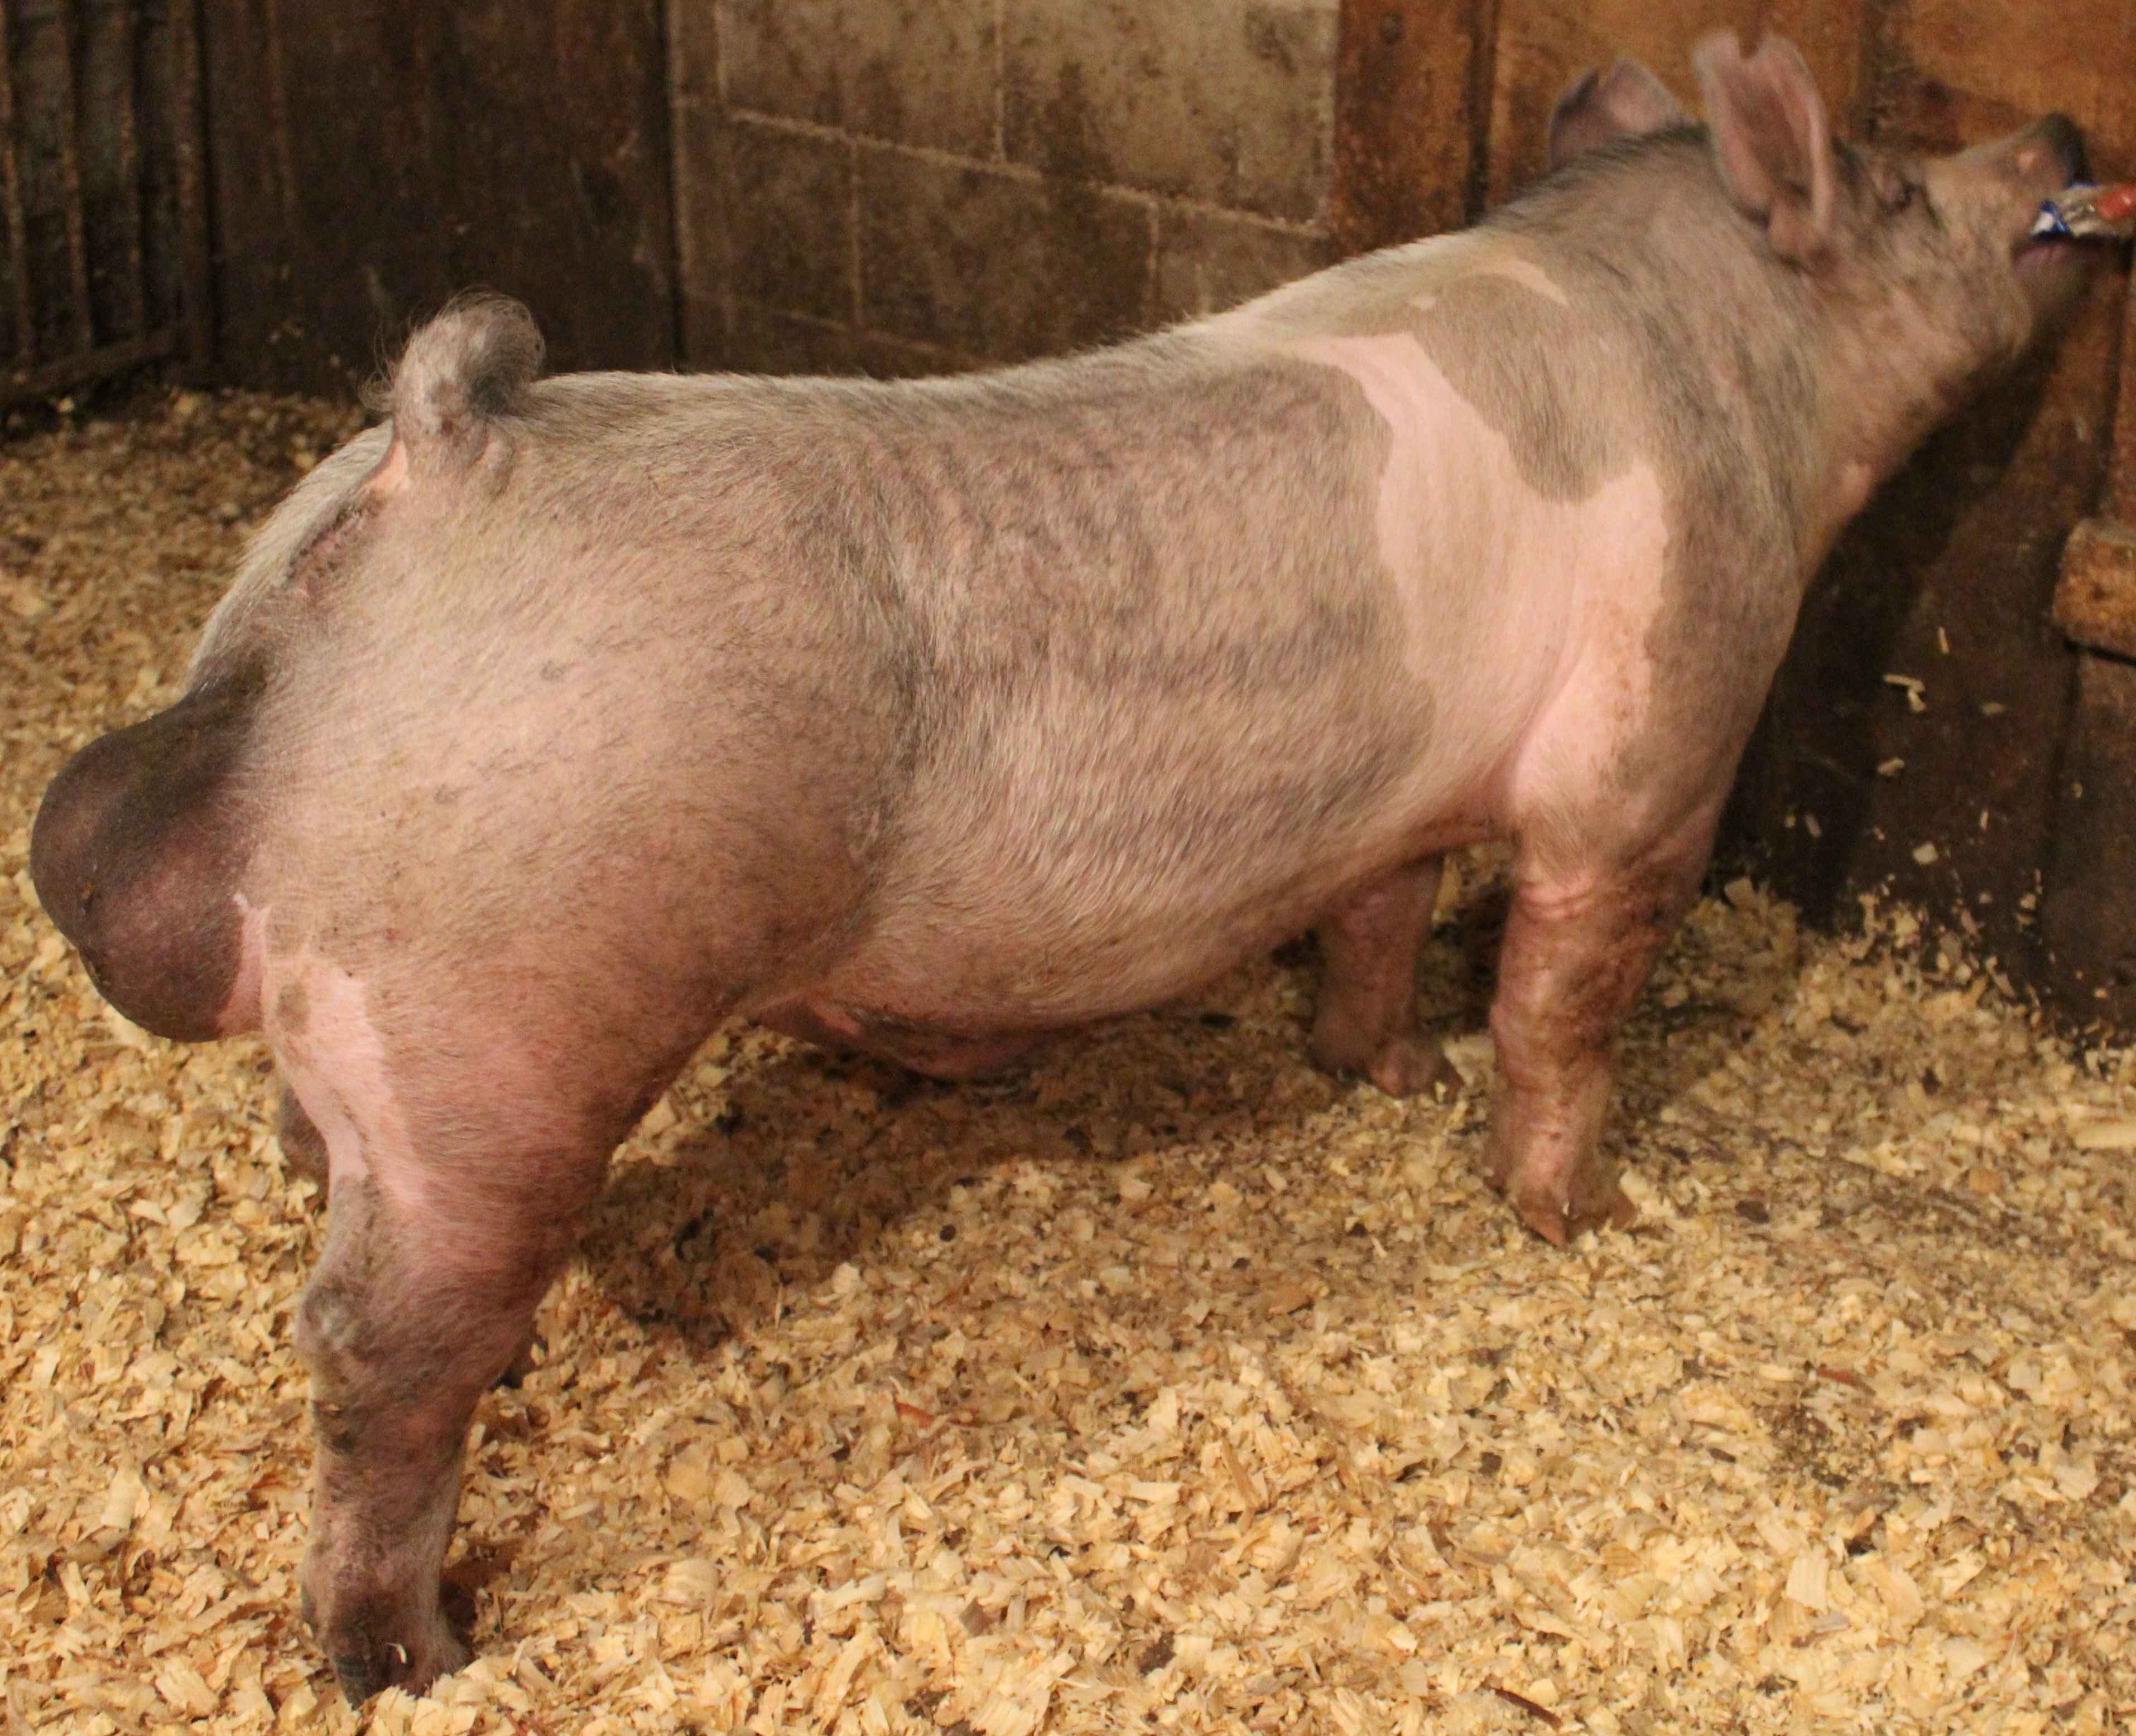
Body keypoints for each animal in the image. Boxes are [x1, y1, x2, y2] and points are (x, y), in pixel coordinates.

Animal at [29, 32, 2101, 1701]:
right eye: (1894, 181)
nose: (2072, 126)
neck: (1709, 354)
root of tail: (427, 469)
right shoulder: (1655, 752)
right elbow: (1566, 995)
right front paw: (1572, 1213)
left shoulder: (1394, 797)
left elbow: (1380, 917)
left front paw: (1381, 1071)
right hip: (505, 1021)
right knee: (370, 1354)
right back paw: (412, 1651)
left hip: (377, 1032)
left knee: (325, 1185)